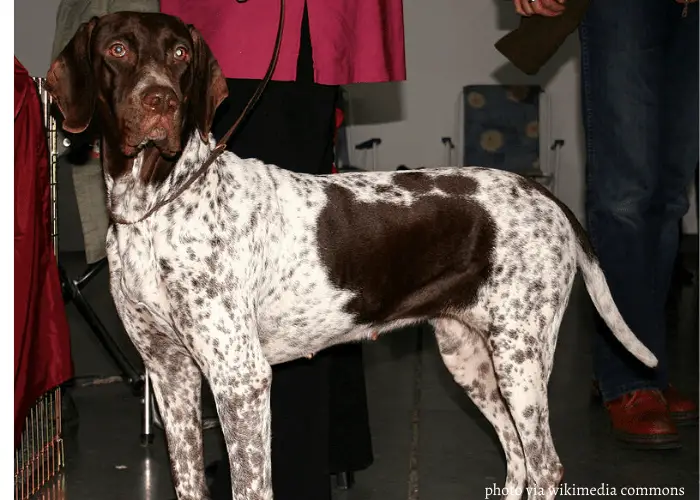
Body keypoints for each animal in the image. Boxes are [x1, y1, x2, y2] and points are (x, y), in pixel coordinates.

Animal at [46, 11, 660, 500]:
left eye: (179, 54)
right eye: (117, 50)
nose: (162, 101)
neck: (155, 204)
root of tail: (541, 192)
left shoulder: (240, 378)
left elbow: (251, 486)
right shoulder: (170, 374)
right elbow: (189, 484)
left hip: (520, 356)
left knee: (546, 464)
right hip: (471, 357)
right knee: (519, 459)